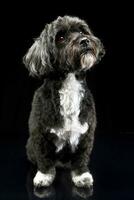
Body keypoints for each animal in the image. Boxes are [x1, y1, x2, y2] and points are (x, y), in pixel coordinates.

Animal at [22, 15, 104, 188]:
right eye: (60, 38)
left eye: (82, 31)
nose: (84, 41)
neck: (69, 83)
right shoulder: (40, 134)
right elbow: (44, 158)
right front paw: (44, 176)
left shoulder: (86, 134)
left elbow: (81, 157)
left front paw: (81, 175)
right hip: (30, 146)